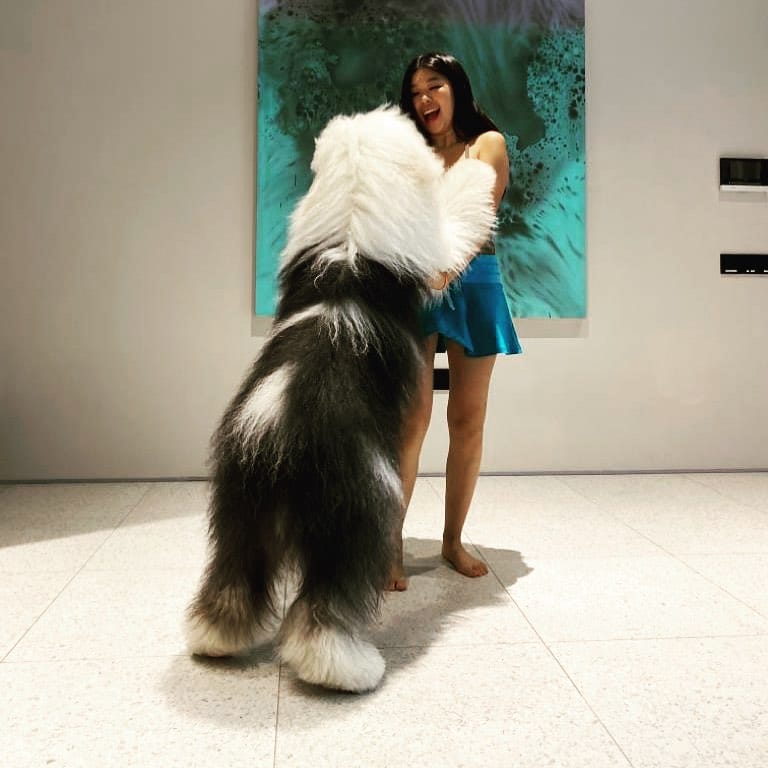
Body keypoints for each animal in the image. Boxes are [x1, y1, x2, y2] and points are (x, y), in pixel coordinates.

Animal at [185, 106, 496, 692]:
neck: (352, 219)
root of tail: (281, 437)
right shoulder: (435, 253)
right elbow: (455, 215)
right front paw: (477, 172)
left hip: (240, 510)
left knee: (231, 583)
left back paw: (213, 640)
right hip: (355, 509)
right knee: (324, 609)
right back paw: (347, 669)